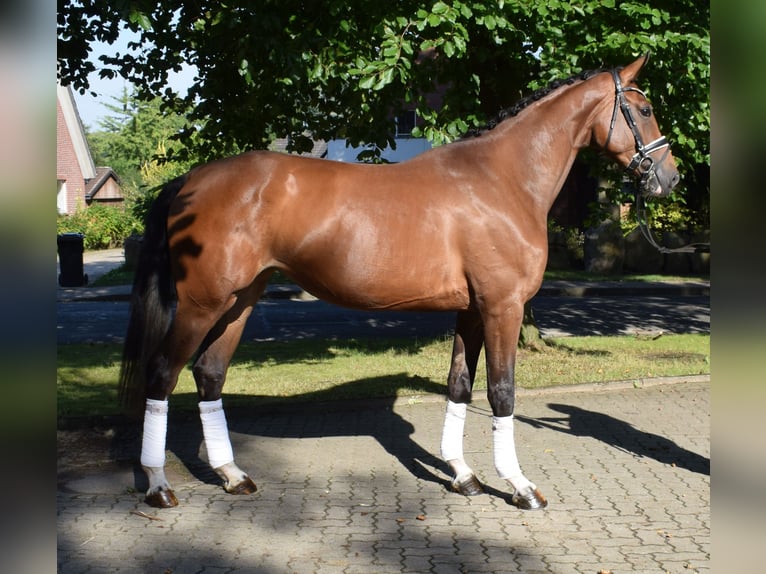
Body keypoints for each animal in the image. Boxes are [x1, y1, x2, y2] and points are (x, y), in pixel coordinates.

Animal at [118, 56, 680, 510]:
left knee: (209, 374)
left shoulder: (471, 309)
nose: (669, 178)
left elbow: (459, 385)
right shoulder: (502, 307)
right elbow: (501, 392)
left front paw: (464, 477)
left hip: (240, 300)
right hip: (202, 303)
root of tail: (190, 181)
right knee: (162, 374)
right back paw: (157, 485)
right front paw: (521, 487)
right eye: (644, 108)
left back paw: (233, 476)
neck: (500, 180)